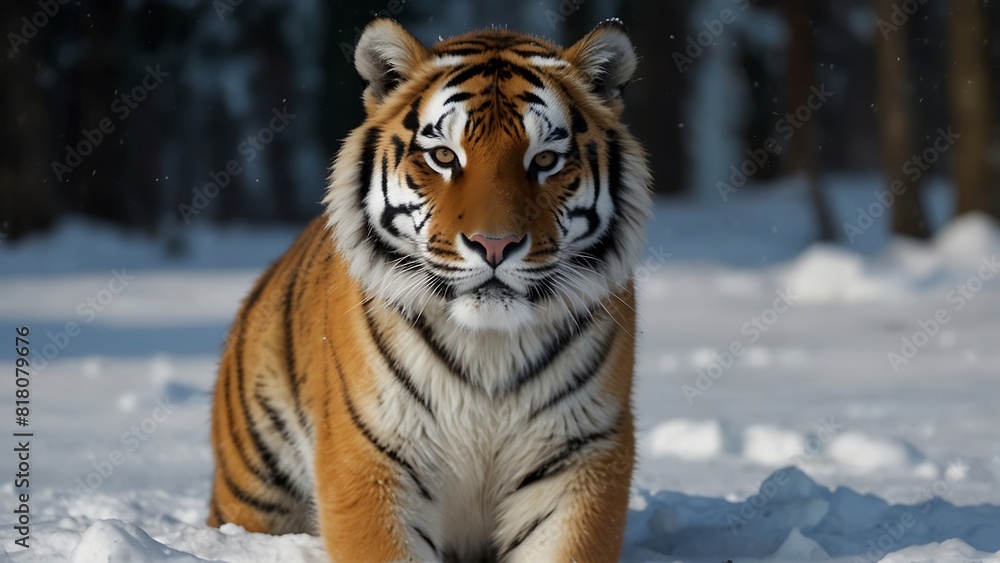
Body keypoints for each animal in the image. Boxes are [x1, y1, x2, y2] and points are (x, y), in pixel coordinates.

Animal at [208, 17, 652, 562]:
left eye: (545, 159)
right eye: (444, 155)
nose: (495, 243)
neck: (489, 348)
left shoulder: (579, 456)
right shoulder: (372, 457)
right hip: (254, 490)